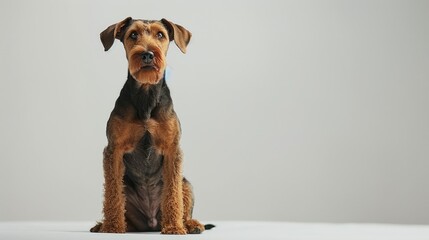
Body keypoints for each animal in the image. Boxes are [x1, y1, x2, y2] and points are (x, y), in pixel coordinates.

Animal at [90, 17, 212, 234]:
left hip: (186, 183)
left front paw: (174, 227)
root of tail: (151, 223)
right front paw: (112, 227)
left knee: (184, 205)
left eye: (160, 34)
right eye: (133, 34)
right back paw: (102, 225)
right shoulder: (113, 150)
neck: (146, 96)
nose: (147, 54)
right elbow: (112, 194)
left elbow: (173, 194)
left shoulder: (173, 150)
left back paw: (191, 224)